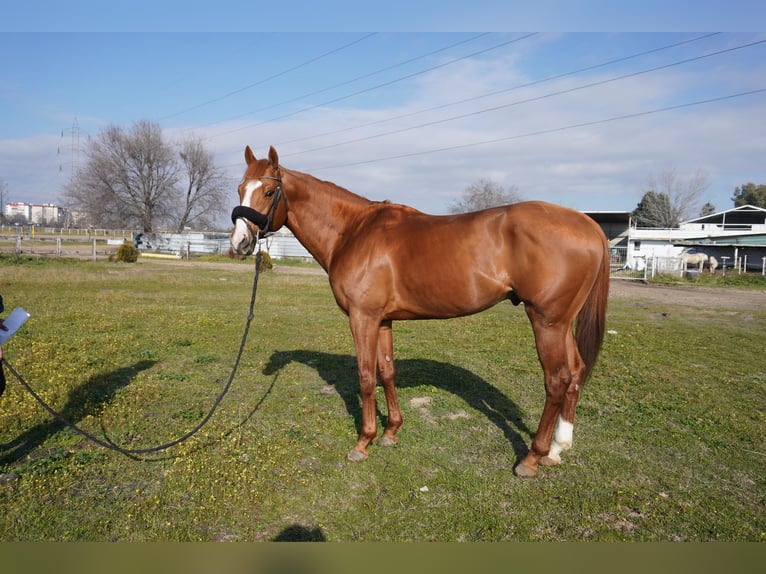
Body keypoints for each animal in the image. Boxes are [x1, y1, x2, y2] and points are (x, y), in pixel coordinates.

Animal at [231, 146, 608, 480]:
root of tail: (587, 224)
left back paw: (532, 458)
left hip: (547, 321)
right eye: (239, 189)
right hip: (562, 323)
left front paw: (363, 442)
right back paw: (557, 449)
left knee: (557, 380)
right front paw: (391, 432)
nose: (239, 243)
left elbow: (365, 376)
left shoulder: (363, 317)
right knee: (576, 372)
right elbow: (387, 371)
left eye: (268, 191)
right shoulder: (383, 320)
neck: (353, 231)